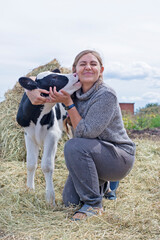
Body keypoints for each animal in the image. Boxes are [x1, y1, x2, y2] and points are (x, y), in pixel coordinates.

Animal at [16, 69, 80, 204]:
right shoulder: (28, 135)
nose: (76, 73)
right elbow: (31, 164)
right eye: (54, 77)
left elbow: (46, 166)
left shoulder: (52, 136)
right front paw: (30, 189)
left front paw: (50, 198)